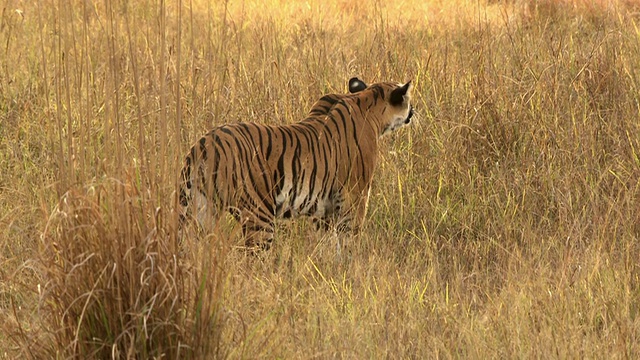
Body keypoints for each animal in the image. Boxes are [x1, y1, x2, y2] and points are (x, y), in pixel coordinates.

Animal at [178, 77, 416, 252]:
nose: (413, 112)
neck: (365, 101)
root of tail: (203, 145)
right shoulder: (355, 195)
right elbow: (349, 236)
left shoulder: (325, 208)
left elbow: (327, 242)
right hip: (259, 214)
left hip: (202, 210)